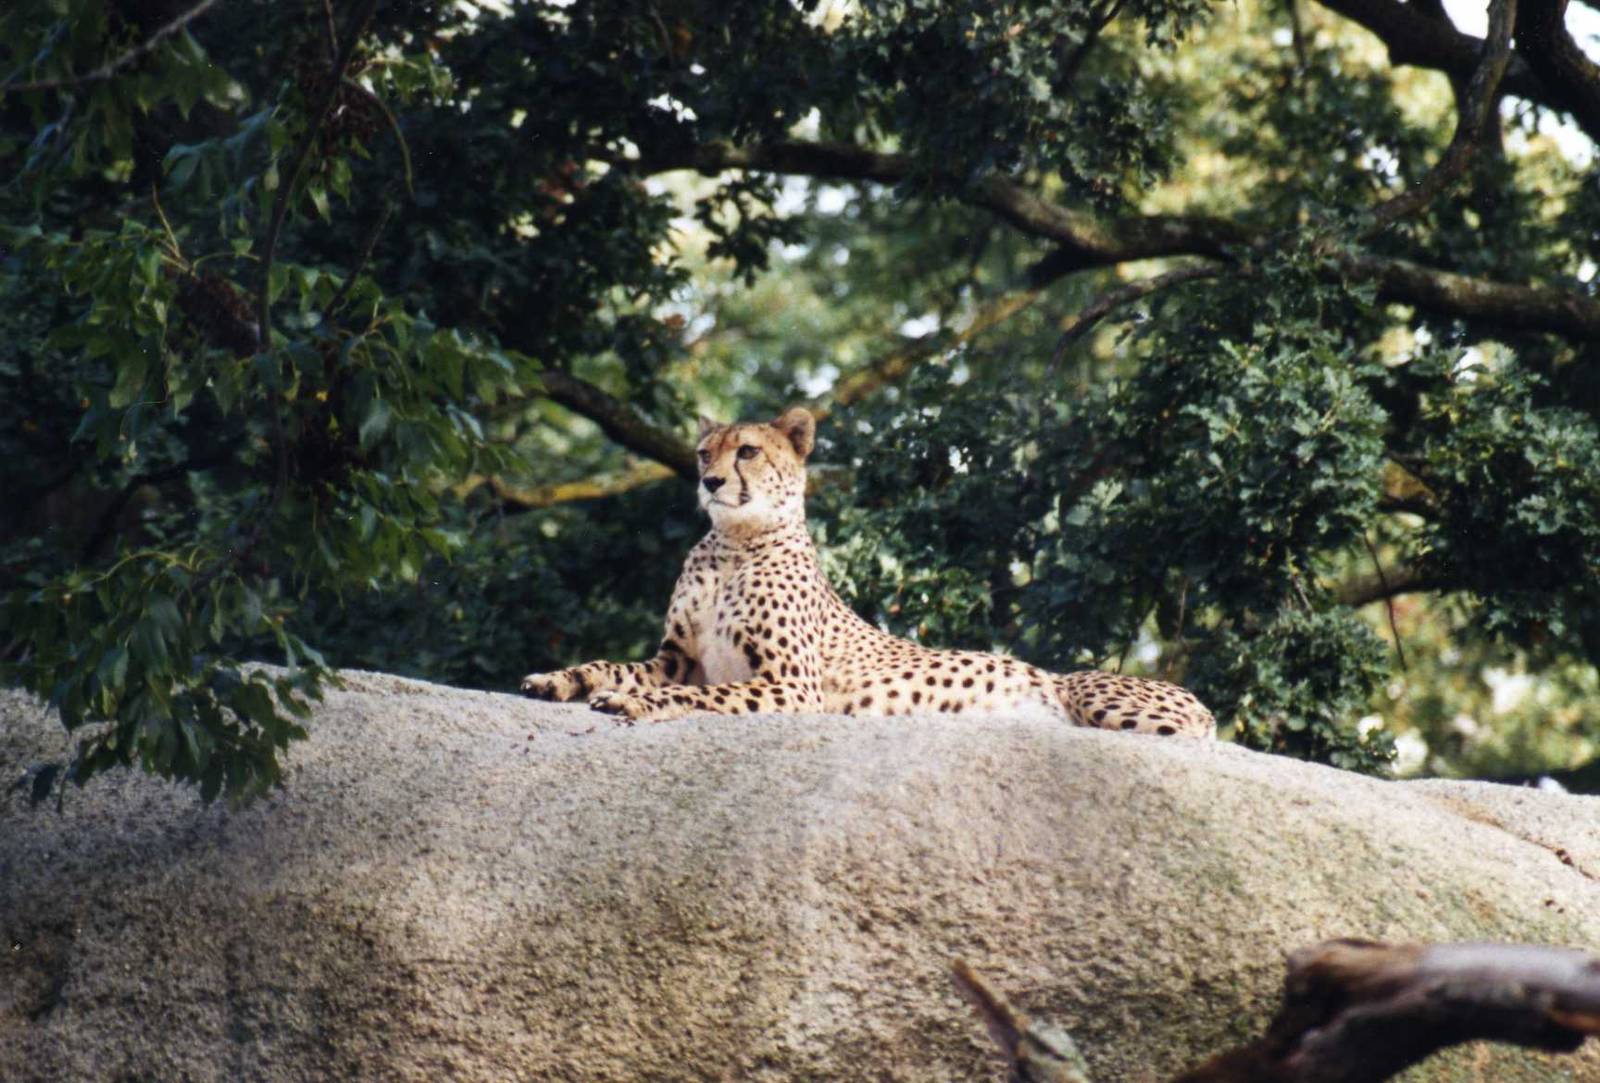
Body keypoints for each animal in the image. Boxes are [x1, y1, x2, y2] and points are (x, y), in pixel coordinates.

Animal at [521, 406, 1215, 738]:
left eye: (747, 451)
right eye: (702, 452)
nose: (710, 481)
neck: (734, 544)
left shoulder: (788, 687)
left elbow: (698, 695)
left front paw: (636, 704)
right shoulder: (676, 656)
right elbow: (612, 665)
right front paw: (556, 679)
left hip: (1100, 695)